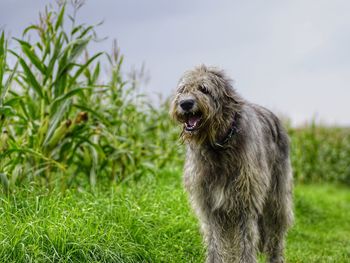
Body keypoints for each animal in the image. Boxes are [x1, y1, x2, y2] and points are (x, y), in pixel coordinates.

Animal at [170, 65, 292, 262]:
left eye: (204, 89)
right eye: (183, 90)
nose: (185, 104)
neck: (219, 145)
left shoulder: (245, 203)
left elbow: (245, 242)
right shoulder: (210, 205)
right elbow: (215, 241)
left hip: (277, 196)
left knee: (276, 232)